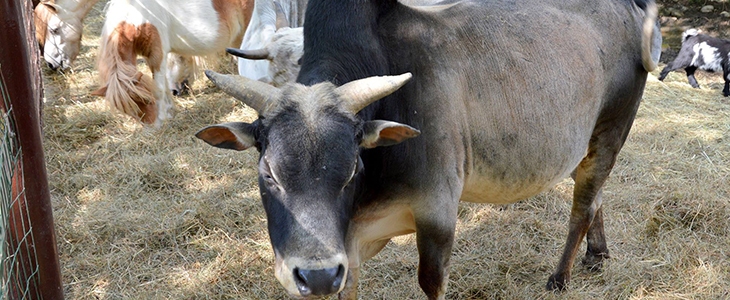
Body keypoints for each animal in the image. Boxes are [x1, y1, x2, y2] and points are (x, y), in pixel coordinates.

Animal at [94, 0, 253, 126]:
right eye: (127, 110)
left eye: (145, 99)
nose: (152, 127)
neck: (139, 14)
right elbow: (163, 84)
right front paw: (169, 113)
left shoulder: (157, 55)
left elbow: (158, 88)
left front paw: (163, 117)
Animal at [196, 0, 664, 298]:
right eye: (268, 173)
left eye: (351, 170)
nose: (317, 275)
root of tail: (630, 7)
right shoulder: (346, 249)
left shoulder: (437, 216)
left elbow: (430, 282)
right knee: (596, 196)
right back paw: (597, 255)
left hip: (610, 130)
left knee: (582, 205)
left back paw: (561, 277)